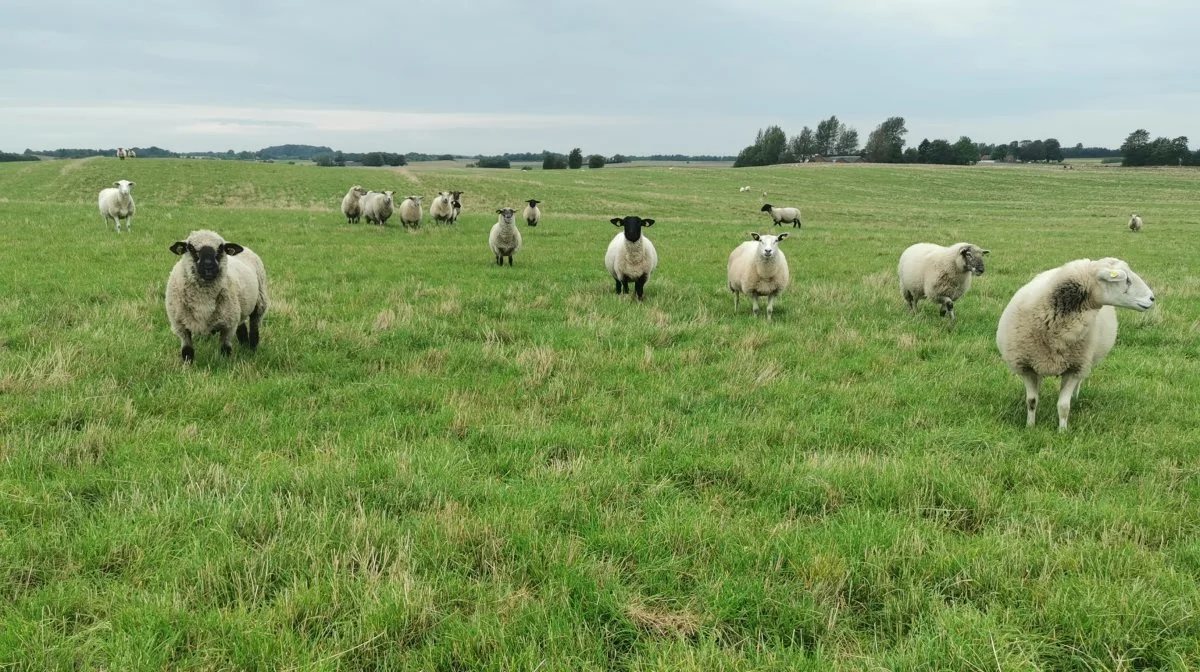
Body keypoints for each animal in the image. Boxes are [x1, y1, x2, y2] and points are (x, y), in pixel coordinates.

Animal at [162, 228, 267, 362]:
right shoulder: (180, 325)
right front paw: (188, 365)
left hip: (260, 302)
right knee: (242, 326)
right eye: (190, 248)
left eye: (221, 248)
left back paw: (252, 349)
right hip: (239, 306)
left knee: (254, 327)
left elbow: (225, 349)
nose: (209, 266)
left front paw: (224, 363)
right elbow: (187, 351)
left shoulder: (228, 325)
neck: (203, 301)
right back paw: (244, 345)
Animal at [993, 256, 1152, 429]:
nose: (1152, 298)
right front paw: (1030, 426)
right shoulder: (1026, 367)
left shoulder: (1075, 368)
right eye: (1127, 280)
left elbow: (1063, 406)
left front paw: (1062, 430)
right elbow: (1032, 401)